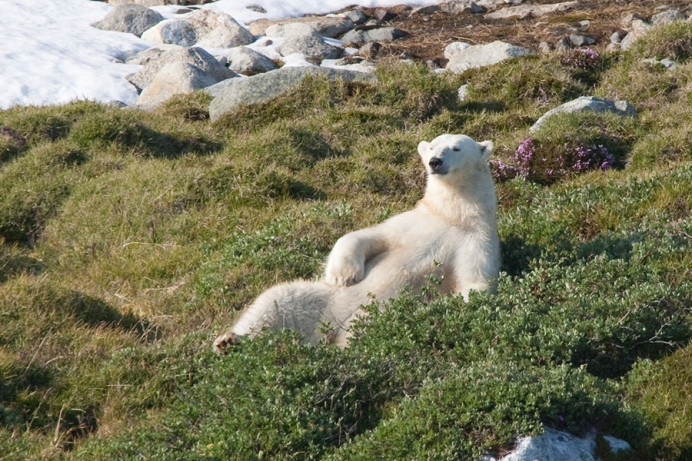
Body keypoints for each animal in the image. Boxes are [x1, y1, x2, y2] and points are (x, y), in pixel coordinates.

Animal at [213, 133, 500, 352]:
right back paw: (230, 341)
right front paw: (344, 275)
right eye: (432, 146)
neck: (451, 215)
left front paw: (443, 309)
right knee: (274, 302)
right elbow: (369, 235)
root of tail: (324, 337)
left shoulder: (477, 239)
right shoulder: (411, 224)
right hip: (320, 300)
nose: (435, 161)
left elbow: (474, 282)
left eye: (456, 147)